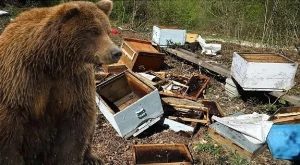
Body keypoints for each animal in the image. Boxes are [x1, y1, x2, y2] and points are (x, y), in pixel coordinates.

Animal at [0, 0, 122, 164]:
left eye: (108, 31)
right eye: (94, 31)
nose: (116, 52)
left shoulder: (74, 81)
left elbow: (75, 125)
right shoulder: (21, 78)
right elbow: (10, 132)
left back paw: (92, 157)